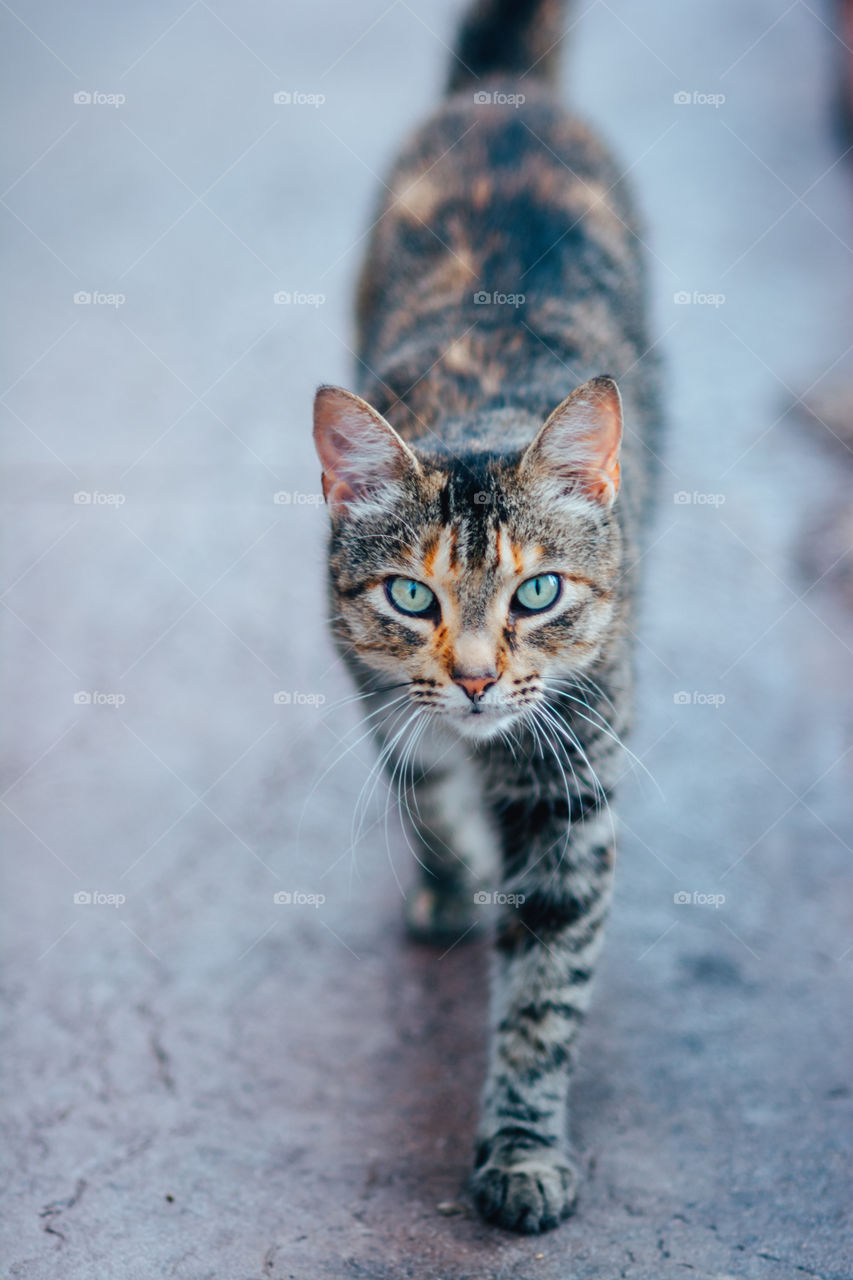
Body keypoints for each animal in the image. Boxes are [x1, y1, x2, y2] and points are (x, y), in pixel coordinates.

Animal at [311, 0, 655, 1239]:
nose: (469, 677)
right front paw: (452, 882)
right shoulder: (371, 679)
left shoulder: (573, 777)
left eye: (536, 592)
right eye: (411, 594)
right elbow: (419, 785)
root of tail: (499, 98)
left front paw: (520, 1148)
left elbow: (544, 989)